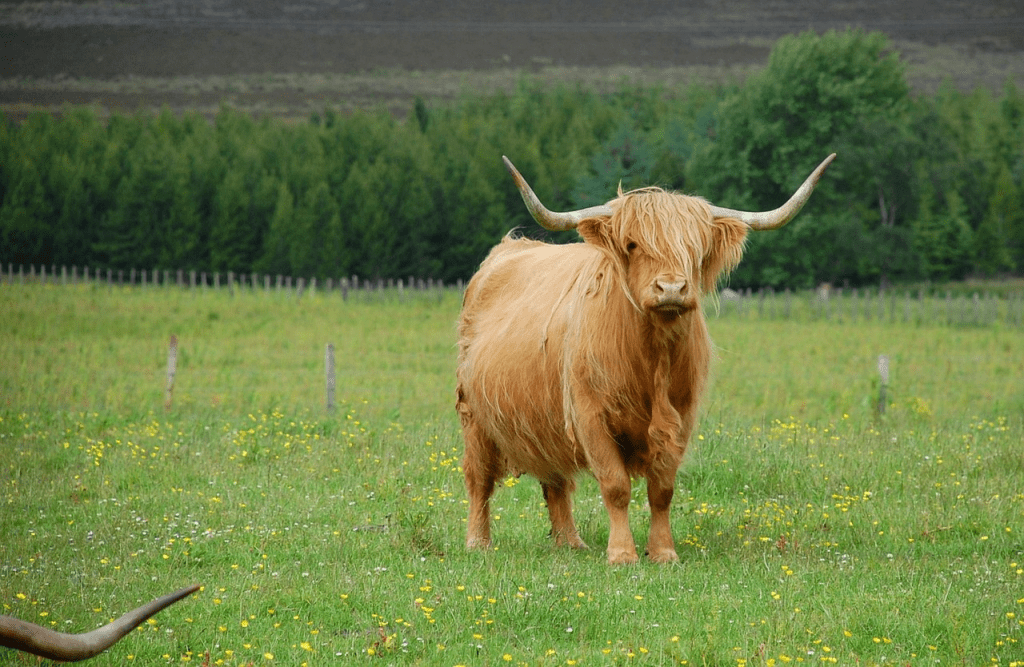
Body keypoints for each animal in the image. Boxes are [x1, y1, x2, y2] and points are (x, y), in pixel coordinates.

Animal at [456, 153, 834, 564]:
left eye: (696, 248)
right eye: (632, 244)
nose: (671, 288)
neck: (652, 359)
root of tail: (507, 249)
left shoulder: (681, 417)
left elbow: (662, 490)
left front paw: (664, 551)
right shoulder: (589, 414)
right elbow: (616, 485)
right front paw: (622, 553)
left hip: (543, 419)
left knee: (555, 479)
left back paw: (570, 541)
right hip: (473, 415)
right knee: (479, 478)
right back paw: (477, 541)